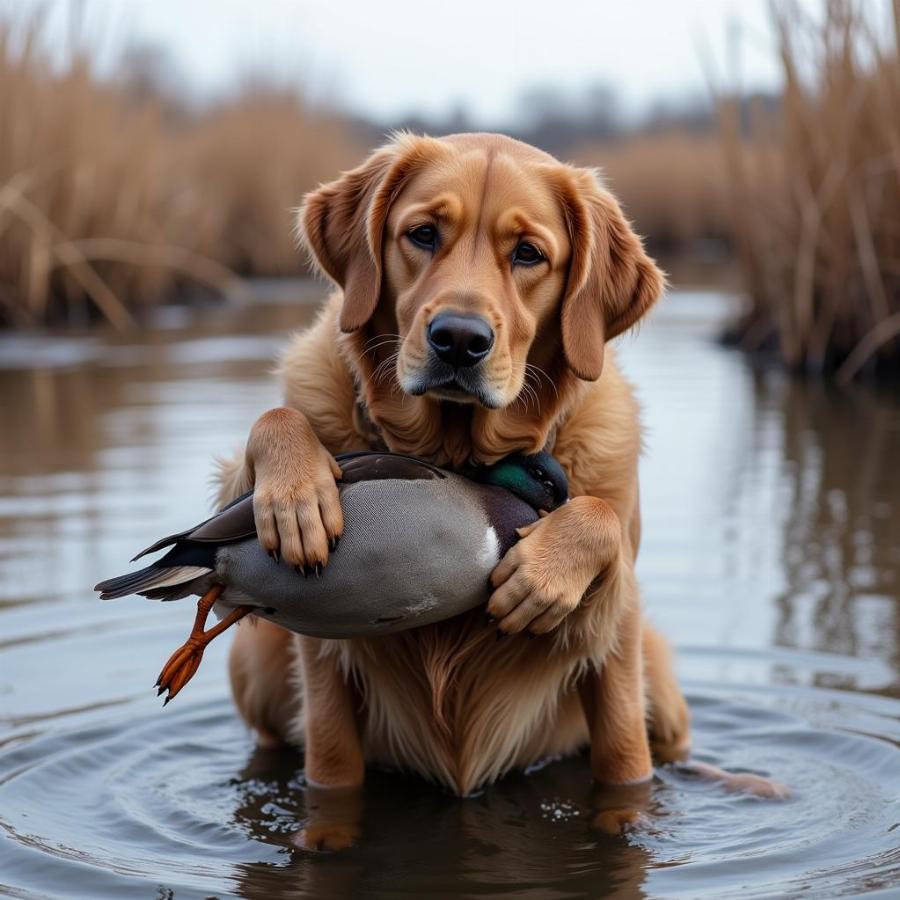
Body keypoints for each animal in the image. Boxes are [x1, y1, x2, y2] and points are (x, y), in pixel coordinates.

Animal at [216, 130, 724, 848]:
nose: (458, 339)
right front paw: (296, 495)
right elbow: (334, 769)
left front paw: (543, 574)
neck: (457, 465)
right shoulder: (323, 656)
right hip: (258, 656)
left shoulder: (616, 636)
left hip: (662, 683)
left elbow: (627, 760)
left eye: (529, 253)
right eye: (423, 234)